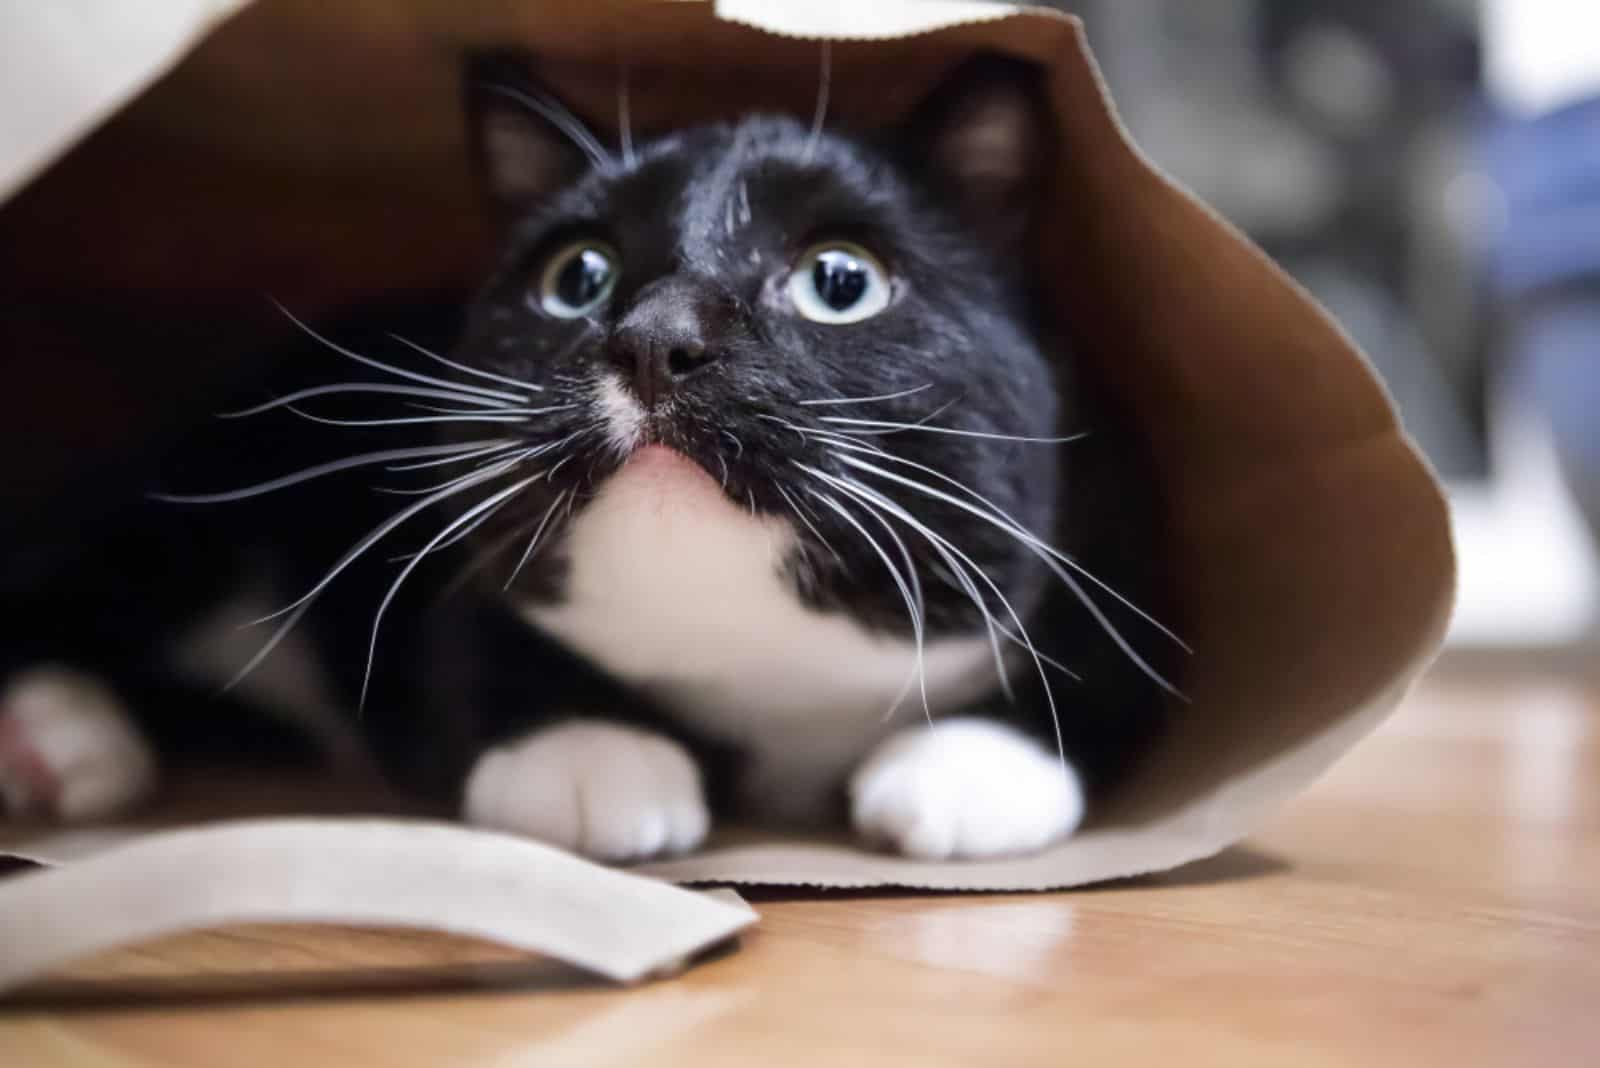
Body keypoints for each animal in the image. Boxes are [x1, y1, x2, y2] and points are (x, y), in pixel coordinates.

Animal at [0, 54, 1177, 863]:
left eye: (840, 280)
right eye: (579, 276)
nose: (654, 337)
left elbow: (1101, 665)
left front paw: (973, 766)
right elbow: (479, 639)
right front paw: (584, 755)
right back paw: (56, 732)